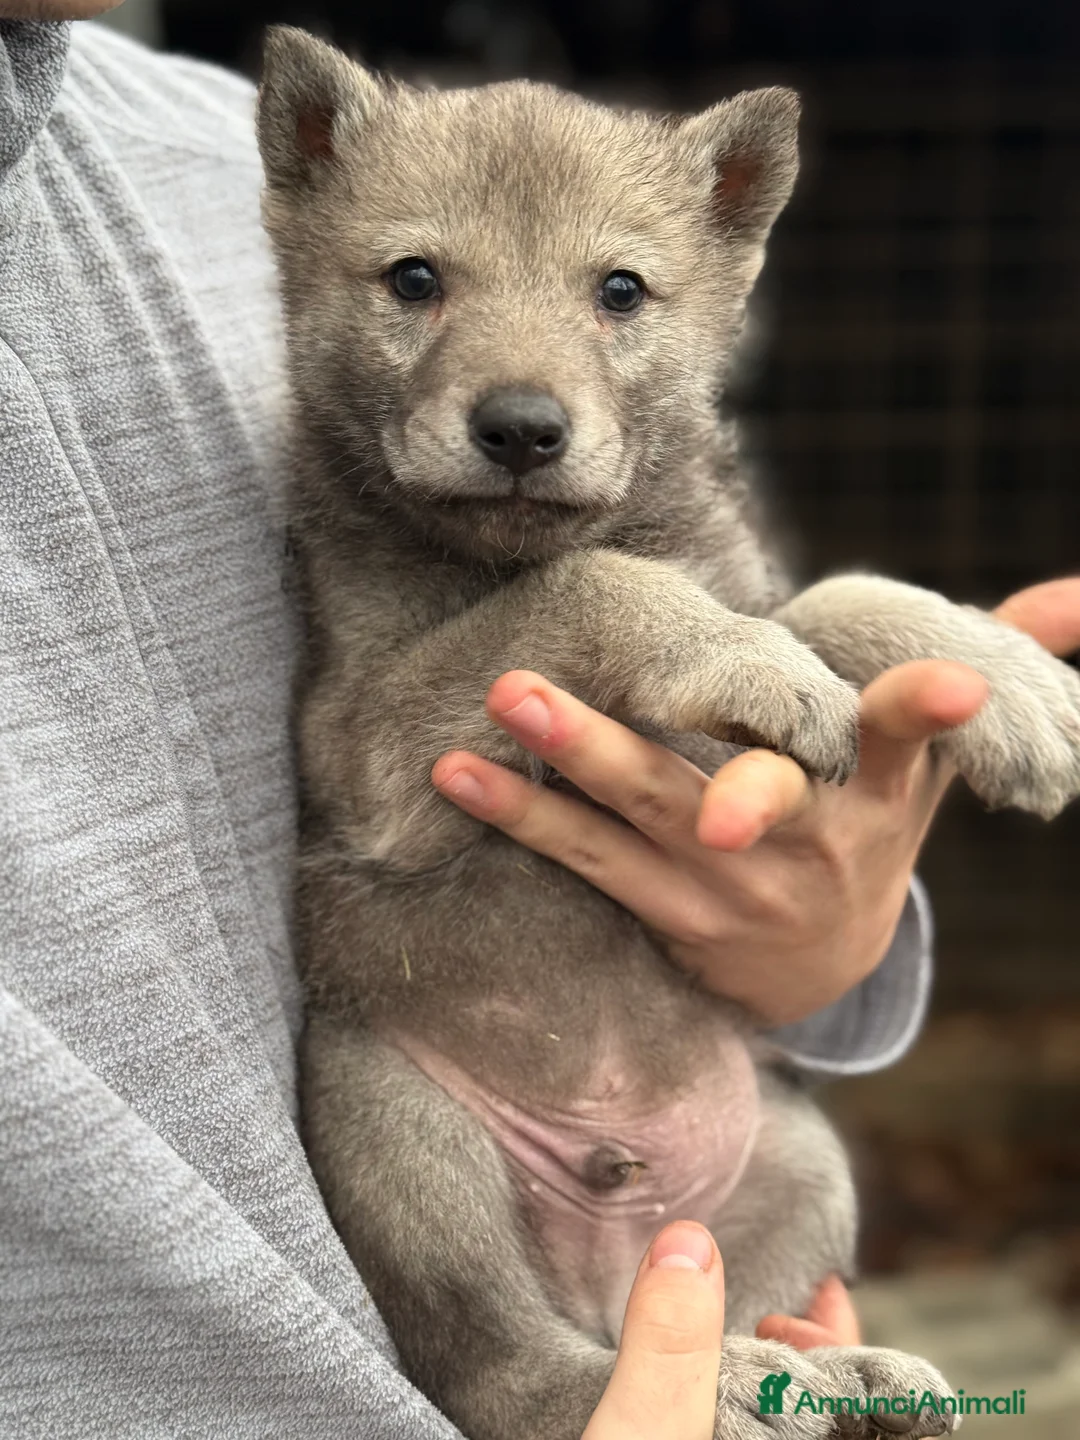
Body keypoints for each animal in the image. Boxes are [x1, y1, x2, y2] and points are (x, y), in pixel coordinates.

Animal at [256, 26, 1080, 1439]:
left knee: (723, 1306)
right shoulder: (357, 747)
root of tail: (601, 1254)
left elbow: (836, 598)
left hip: (797, 1154)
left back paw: (829, 1373)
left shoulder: (751, 580)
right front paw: (731, 657)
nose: (521, 429)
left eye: (622, 291)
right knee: (506, 1368)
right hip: (391, 1127)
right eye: (413, 279)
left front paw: (1006, 678)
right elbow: (589, 586)